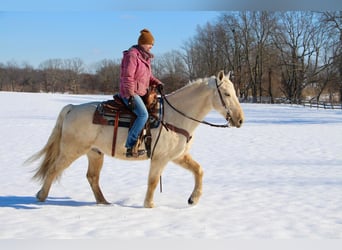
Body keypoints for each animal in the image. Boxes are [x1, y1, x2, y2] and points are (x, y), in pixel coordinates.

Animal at [28, 70, 244, 207]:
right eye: (226, 94)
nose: (240, 120)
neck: (176, 116)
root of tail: (72, 107)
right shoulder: (159, 158)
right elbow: (153, 181)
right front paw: (149, 205)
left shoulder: (177, 156)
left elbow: (199, 171)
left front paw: (193, 199)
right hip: (72, 150)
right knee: (54, 169)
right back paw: (41, 196)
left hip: (95, 153)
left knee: (92, 177)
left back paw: (104, 203)